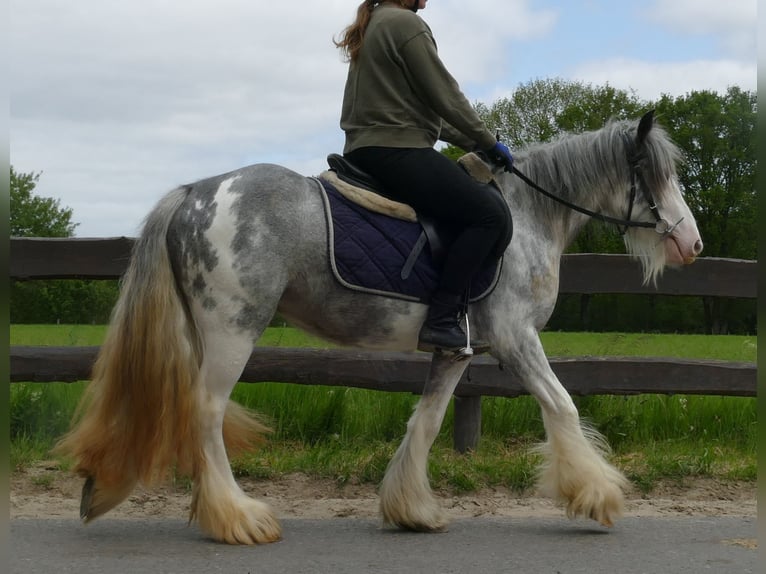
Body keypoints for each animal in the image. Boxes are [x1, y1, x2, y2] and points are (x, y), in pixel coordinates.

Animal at [57, 111, 708, 544]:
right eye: (656, 175)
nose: (692, 245)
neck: (527, 216)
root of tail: (195, 192)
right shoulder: (517, 340)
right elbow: (563, 406)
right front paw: (596, 495)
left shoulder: (457, 351)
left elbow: (427, 421)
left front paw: (411, 509)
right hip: (232, 330)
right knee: (206, 413)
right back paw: (238, 518)